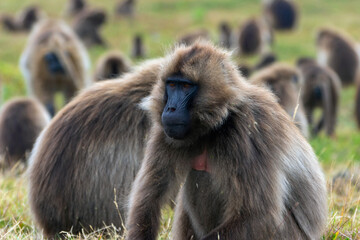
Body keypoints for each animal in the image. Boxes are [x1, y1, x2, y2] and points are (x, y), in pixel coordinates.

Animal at [126, 42, 326, 240]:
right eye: (172, 84)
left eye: (186, 86)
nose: (170, 109)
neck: (220, 120)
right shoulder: (165, 133)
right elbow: (148, 200)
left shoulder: (246, 134)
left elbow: (259, 215)